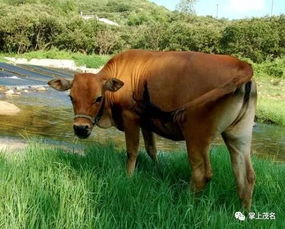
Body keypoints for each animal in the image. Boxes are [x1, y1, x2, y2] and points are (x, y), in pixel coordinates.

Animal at [47, 49, 256, 208]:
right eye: (71, 97)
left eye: (98, 98)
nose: (80, 128)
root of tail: (241, 64)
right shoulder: (146, 122)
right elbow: (151, 150)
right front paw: (158, 171)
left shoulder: (130, 117)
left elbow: (132, 151)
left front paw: (128, 177)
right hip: (239, 137)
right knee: (246, 175)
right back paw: (244, 212)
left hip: (196, 135)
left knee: (202, 174)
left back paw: (186, 204)